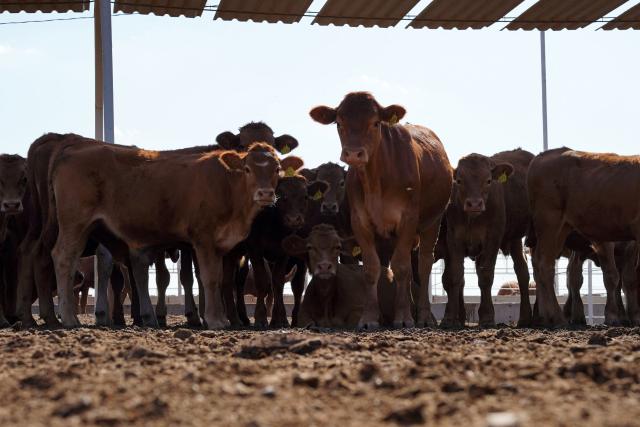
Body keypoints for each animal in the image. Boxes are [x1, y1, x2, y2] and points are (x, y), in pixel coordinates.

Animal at [49, 139, 290, 329]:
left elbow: (220, 279)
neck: (226, 185)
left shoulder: (219, 245)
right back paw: (69, 318)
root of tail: (73, 148)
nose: (265, 193)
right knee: (64, 258)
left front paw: (220, 318)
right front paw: (214, 320)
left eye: (277, 169)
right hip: (75, 223)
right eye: (248, 169)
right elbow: (210, 278)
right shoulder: (203, 240)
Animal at [310, 92, 453, 329]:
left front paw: (403, 317)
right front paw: (369, 318)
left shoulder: (408, 219)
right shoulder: (361, 222)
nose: (353, 153)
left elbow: (402, 267)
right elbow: (372, 268)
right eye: (339, 123)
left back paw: (423, 316)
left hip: (433, 221)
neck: (376, 180)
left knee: (423, 263)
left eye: (375, 123)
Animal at [441, 149, 534, 328]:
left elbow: (486, 275)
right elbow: (455, 275)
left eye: (488, 180)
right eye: (459, 180)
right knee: (522, 270)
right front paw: (449, 319)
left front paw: (487, 317)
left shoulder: (492, 239)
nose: (475, 204)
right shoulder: (453, 239)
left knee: (525, 272)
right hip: (514, 239)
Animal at [527, 147, 640, 327]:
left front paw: (634, 316)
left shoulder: (631, 245)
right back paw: (557, 317)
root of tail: (543, 155)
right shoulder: (604, 240)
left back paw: (547, 317)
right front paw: (612, 316)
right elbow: (612, 276)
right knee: (545, 265)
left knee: (541, 267)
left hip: (560, 230)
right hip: (549, 223)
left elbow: (629, 279)